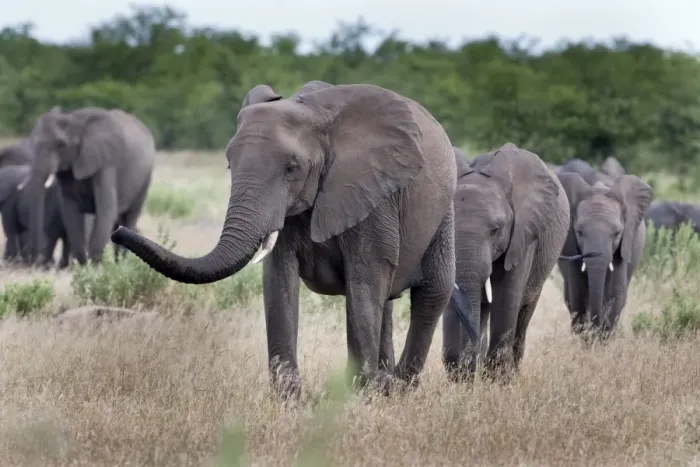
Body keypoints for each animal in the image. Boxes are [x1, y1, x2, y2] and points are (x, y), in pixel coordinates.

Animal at [22, 106, 156, 266]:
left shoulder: (106, 163)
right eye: (32, 143)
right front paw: (83, 266)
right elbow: (70, 210)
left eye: (61, 145)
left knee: (130, 216)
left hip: (145, 177)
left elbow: (106, 208)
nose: (34, 260)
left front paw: (95, 265)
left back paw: (121, 265)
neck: (73, 120)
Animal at [110, 81, 470, 398]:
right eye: (229, 164)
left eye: (292, 168)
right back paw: (386, 385)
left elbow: (365, 281)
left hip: (444, 210)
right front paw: (289, 400)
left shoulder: (372, 193)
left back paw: (399, 389)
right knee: (390, 302)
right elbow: (279, 280)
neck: (315, 113)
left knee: (431, 292)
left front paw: (361, 396)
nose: (117, 231)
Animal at [443, 143, 570, 381]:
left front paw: (497, 381)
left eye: (496, 230)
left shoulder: (523, 235)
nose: (466, 366)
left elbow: (506, 296)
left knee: (523, 316)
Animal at [556, 172, 652, 339]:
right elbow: (577, 295)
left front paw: (602, 338)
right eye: (579, 232)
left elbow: (616, 295)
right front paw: (587, 338)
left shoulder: (623, 245)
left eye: (617, 233)